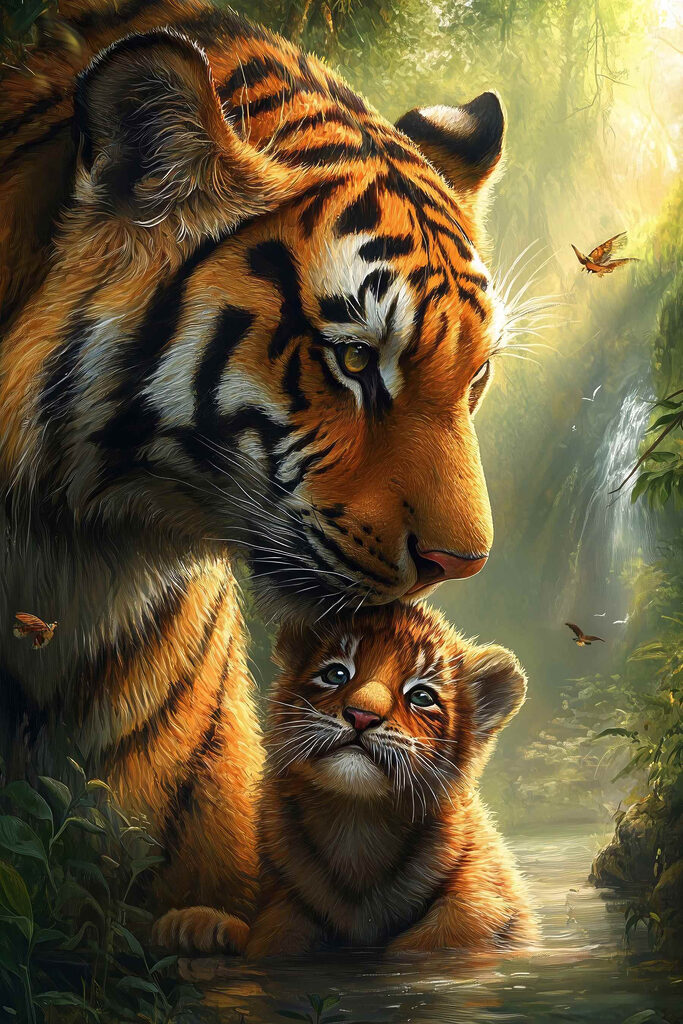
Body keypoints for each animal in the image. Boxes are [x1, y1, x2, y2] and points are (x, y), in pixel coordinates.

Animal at [156, 602, 536, 956]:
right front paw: (193, 926)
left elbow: (454, 926)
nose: (362, 715)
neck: (357, 826)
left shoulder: (483, 897)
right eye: (336, 674)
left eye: (422, 696)